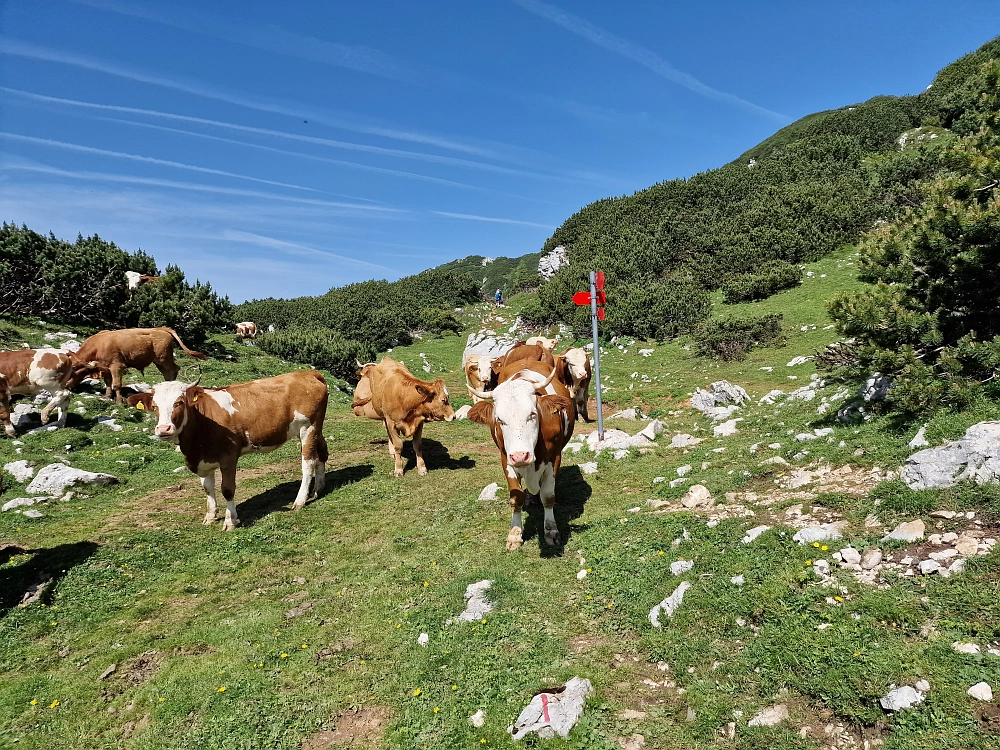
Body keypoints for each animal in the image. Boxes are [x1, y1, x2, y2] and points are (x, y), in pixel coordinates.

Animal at [73, 326, 209, 402]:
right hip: (160, 361)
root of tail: (162, 328)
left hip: (163, 358)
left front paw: (119, 401)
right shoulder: (105, 368)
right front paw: (107, 397)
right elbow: (108, 382)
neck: (98, 345)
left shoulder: (117, 366)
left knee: (173, 369)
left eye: (72, 368)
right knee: (168, 372)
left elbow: (116, 384)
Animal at [124, 374, 328, 532]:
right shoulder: (203, 461)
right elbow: (208, 488)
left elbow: (227, 489)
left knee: (308, 462)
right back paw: (318, 489)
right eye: (154, 406)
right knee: (321, 453)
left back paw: (300, 500)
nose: (163, 429)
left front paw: (230, 521)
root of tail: (308, 373)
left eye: (179, 403)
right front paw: (210, 516)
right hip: (315, 430)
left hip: (308, 428)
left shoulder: (229, 458)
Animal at [470, 362, 580, 548]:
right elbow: (516, 498)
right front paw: (514, 534)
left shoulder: (554, 458)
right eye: (499, 419)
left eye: (532, 414)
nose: (521, 456)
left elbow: (548, 496)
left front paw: (551, 531)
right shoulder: (506, 459)